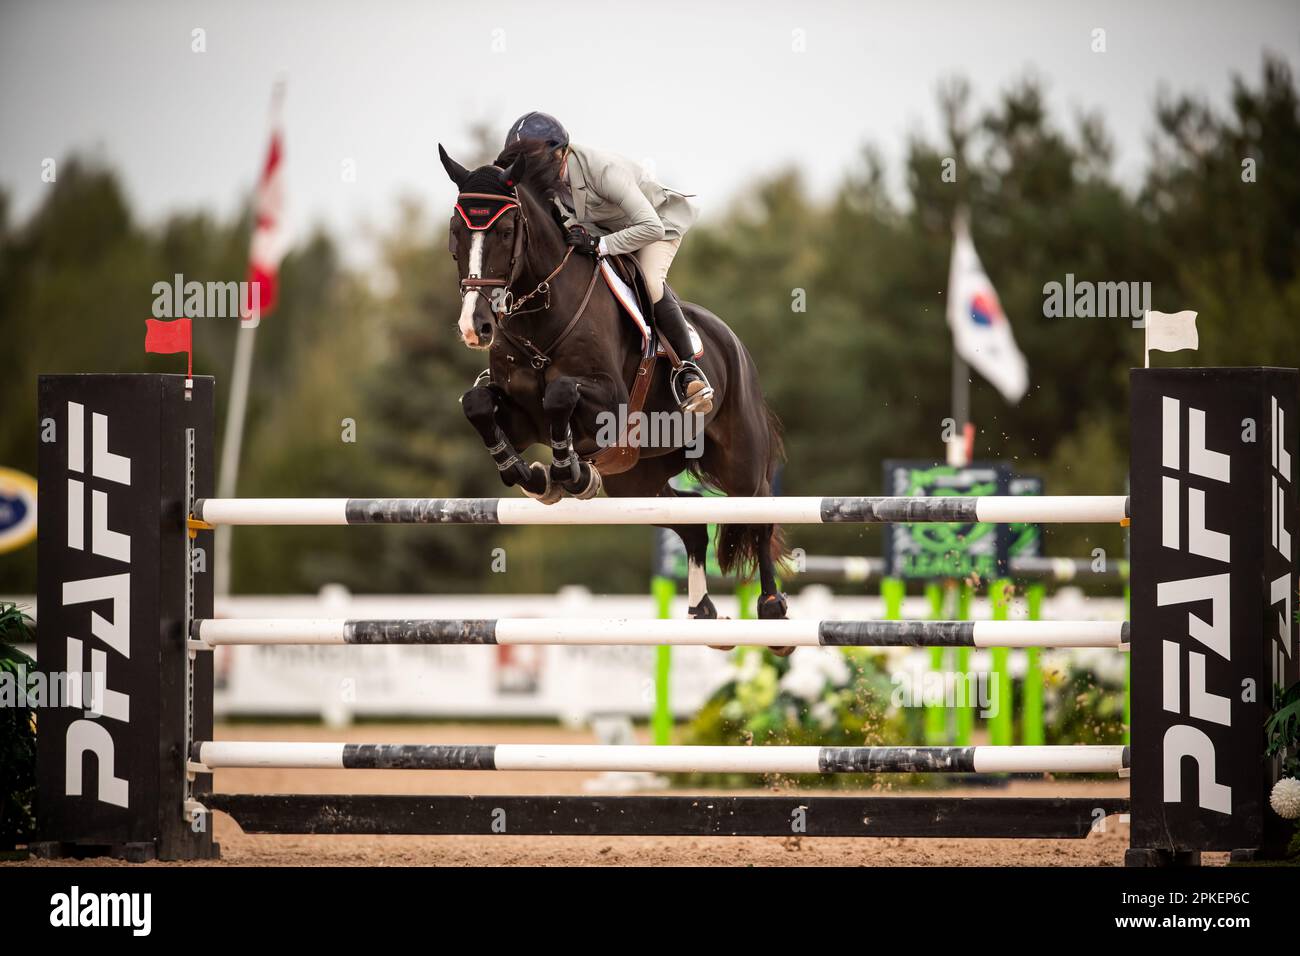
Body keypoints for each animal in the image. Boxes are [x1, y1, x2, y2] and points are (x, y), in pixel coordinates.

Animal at [441, 138, 790, 624]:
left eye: (506, 231)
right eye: (456, 230)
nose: (476, 327)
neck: (541, 314)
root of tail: (732, 340)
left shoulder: (611, 406)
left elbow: (560, 393)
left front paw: (568, 473)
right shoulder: (520, 417)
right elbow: (476, 404)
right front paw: (535, 478)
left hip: (738, 458)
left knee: (758, 512)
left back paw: (771, 605)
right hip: (636, 478)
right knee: (692, 519)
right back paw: (700, 607)